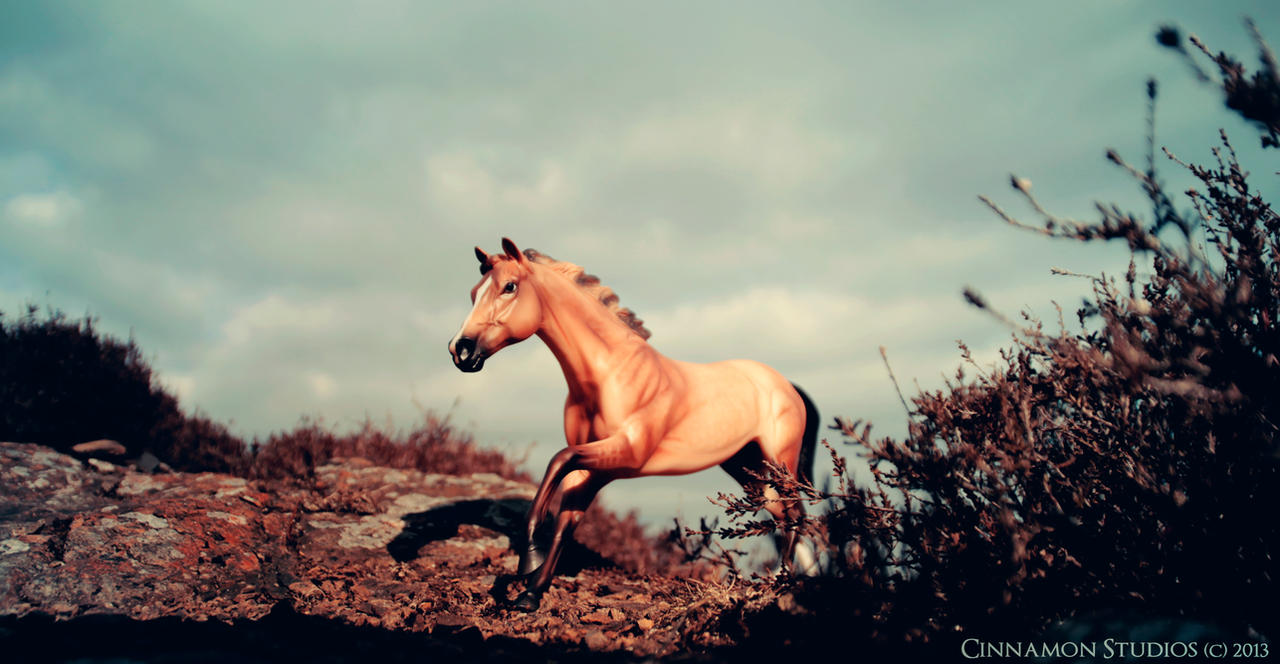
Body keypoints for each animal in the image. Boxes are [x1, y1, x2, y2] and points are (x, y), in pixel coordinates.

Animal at [445, 239, 814, 614]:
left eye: (509, 286)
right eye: (474, 292)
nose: (460, 350)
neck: (610, 374)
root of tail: (786, 385)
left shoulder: (627, 454)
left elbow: (559, 460)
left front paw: (529, 558)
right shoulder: (594, 469)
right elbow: (565, 522)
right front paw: (530, 593)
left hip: (780, 460)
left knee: (795, 512)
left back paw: (784, 580)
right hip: (747, 469)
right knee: (784, 515)